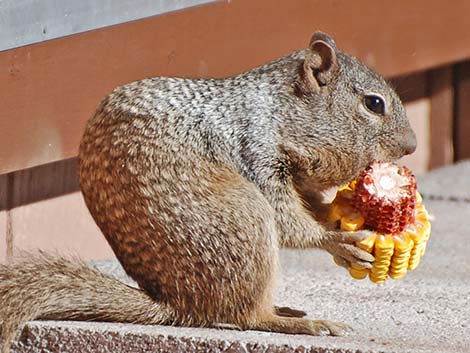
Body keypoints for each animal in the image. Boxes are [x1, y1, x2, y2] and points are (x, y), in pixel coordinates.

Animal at [1, 31, 416, 350]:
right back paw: (299, 322)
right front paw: (336, 242)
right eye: (373, 103)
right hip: (245, 217)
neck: (278, 112)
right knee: (247, 315)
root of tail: (178, 304)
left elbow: (311, 204)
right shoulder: (255, 153)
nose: (412, 146)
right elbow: (287, 221)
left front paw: (341, 216)